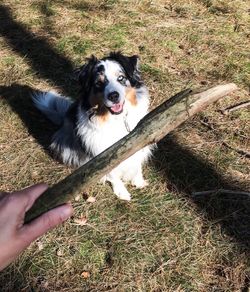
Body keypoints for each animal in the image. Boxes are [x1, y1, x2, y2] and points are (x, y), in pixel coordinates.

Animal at [33, 51, 152, 200]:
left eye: (121, 78)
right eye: (98, 83)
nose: (114, 96)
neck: (116, 119)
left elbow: (136, 163)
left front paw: (138, 181)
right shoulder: (102, 150)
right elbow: (113, 173)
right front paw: (121, 192)